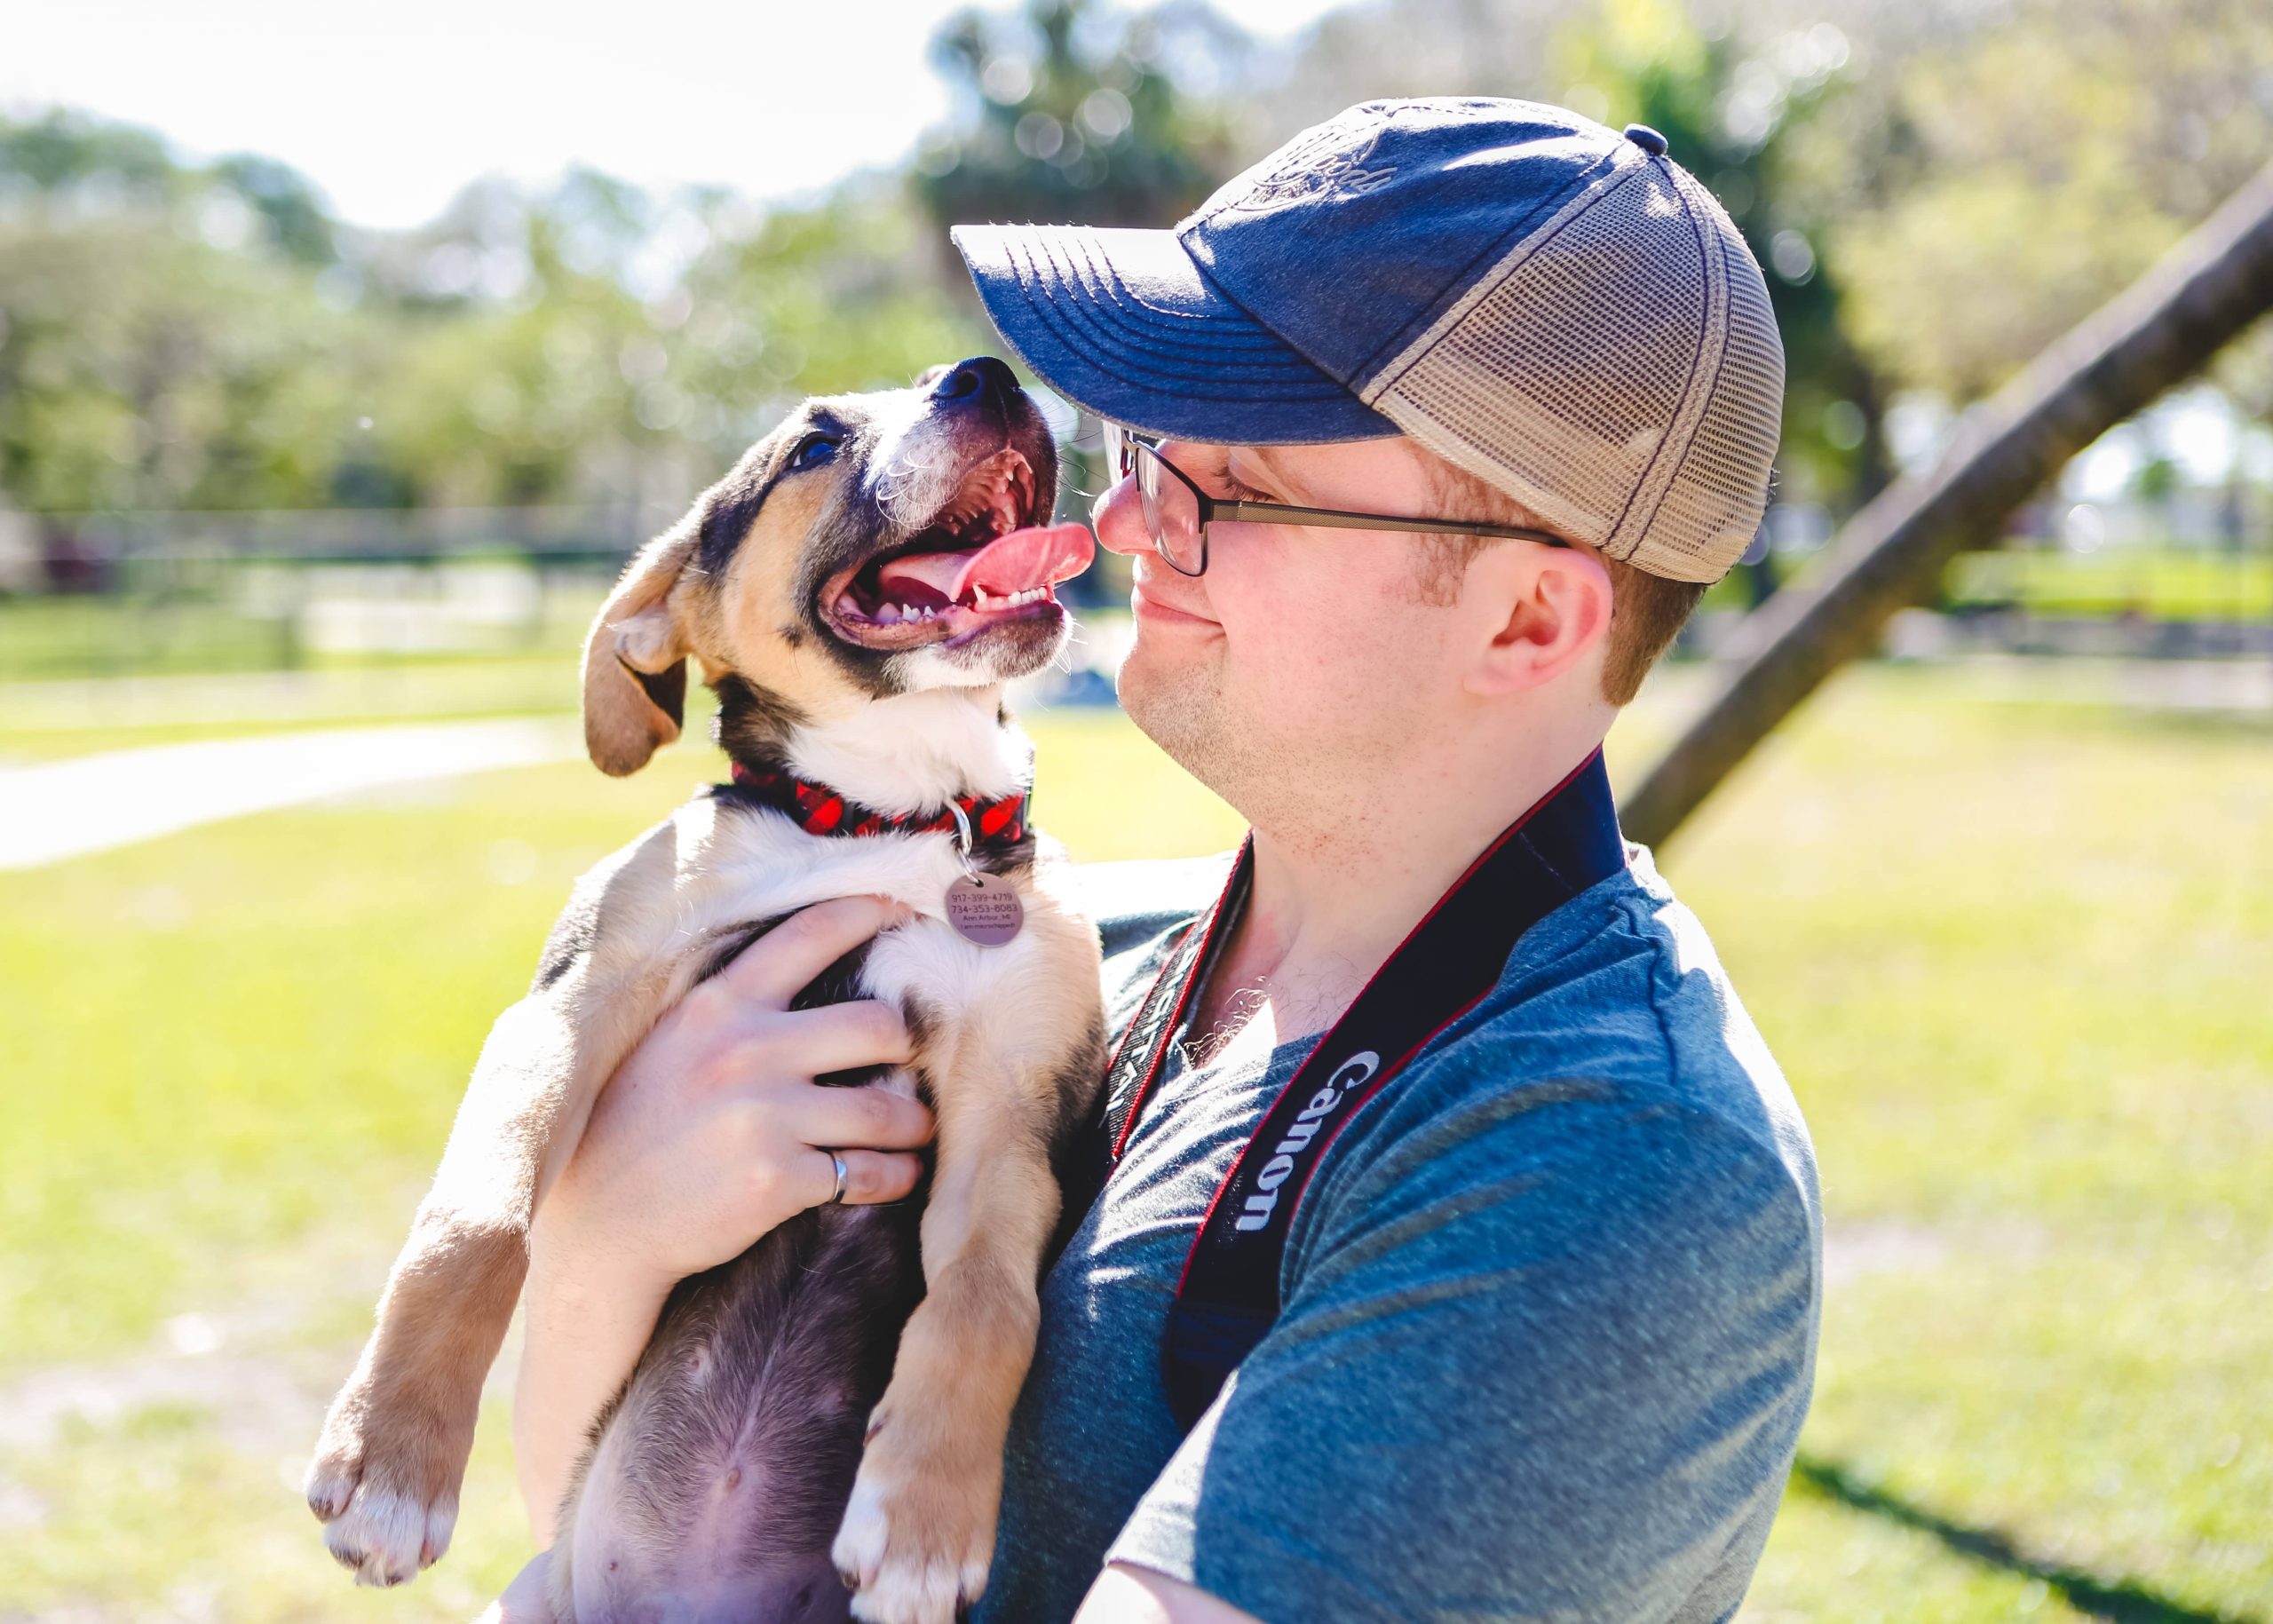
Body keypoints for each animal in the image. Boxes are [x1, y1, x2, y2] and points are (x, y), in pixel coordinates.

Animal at [306, 357, 1105, 1619]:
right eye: (814, 445)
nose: (987, 374)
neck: (890, 817)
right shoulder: (570, 1000)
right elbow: (478, 1218)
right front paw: (392, 1461)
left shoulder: (1011, 1101)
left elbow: (985, 1301)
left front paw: (924, 1517)